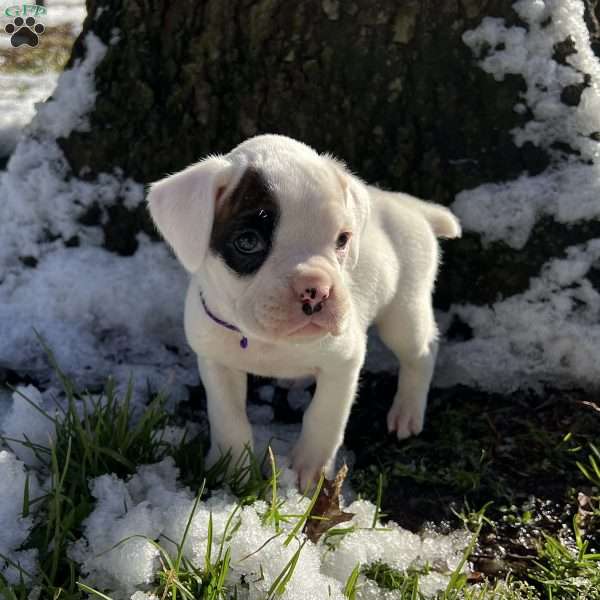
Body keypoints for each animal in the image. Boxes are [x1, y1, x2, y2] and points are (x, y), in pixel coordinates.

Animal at [148, 134, 462, 490]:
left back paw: (407, 410)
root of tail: (410, 207)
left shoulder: (344, 363)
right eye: (248, 241)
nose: (316, 289)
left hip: (404, 311)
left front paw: (310, 470)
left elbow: (324, 416)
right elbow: (229, 418)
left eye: (342, 240)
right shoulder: (216, 362)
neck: (266, 341)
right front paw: (232, 471)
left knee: (421, 352)